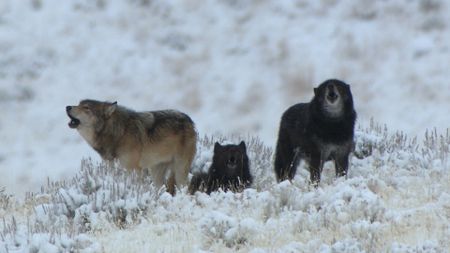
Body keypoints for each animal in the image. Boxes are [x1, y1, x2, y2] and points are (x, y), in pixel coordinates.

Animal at [65, 99, 197, 194]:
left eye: (86, 108)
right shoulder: (112, 168)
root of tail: (189, 119)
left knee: (184, 188)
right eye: (79, 104)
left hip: (180, 170)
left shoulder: (134, 170)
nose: (67, 107)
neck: (119, 133)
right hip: (156, 172)